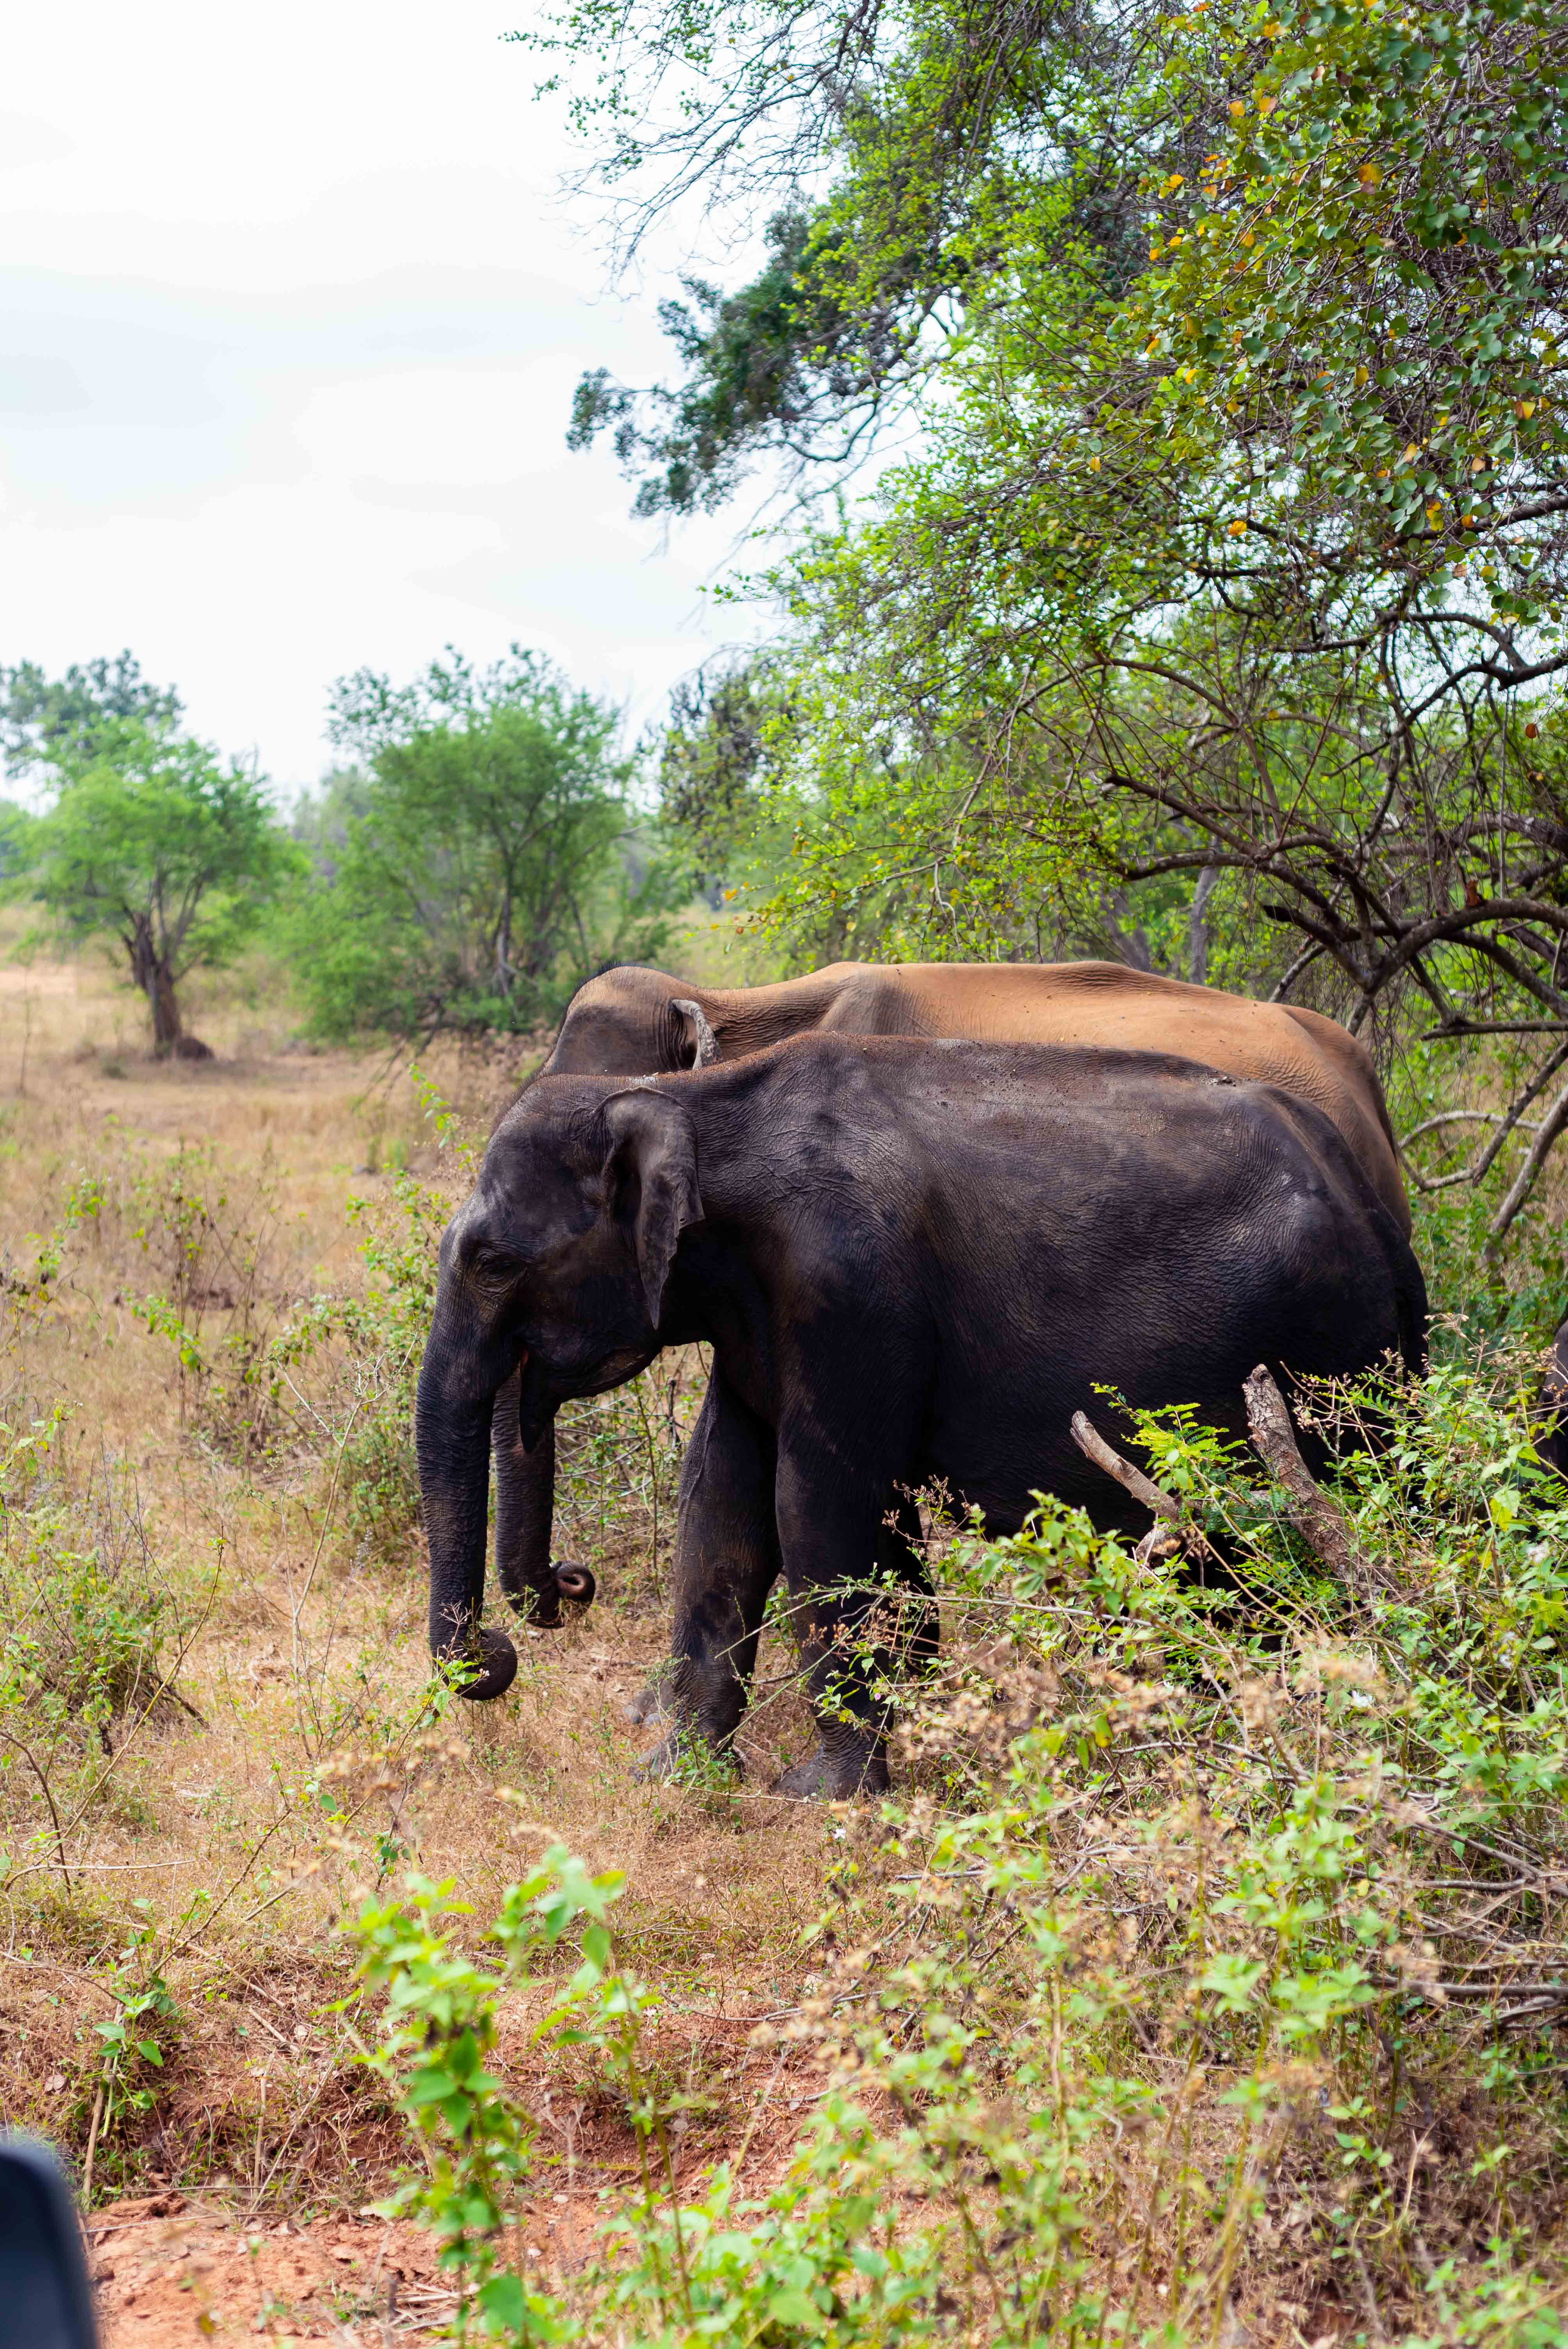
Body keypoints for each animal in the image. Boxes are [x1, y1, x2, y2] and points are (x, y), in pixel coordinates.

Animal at [417, 1034, 1427, 1793]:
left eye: (494, 1263)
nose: (564, 1587)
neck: (694, 1101)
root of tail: (1377, 1202)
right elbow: (720, 1508)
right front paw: (674, 1780)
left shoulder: (851, 1290)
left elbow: (815, 1508)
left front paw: (820, 1799)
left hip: (1328, 1351)